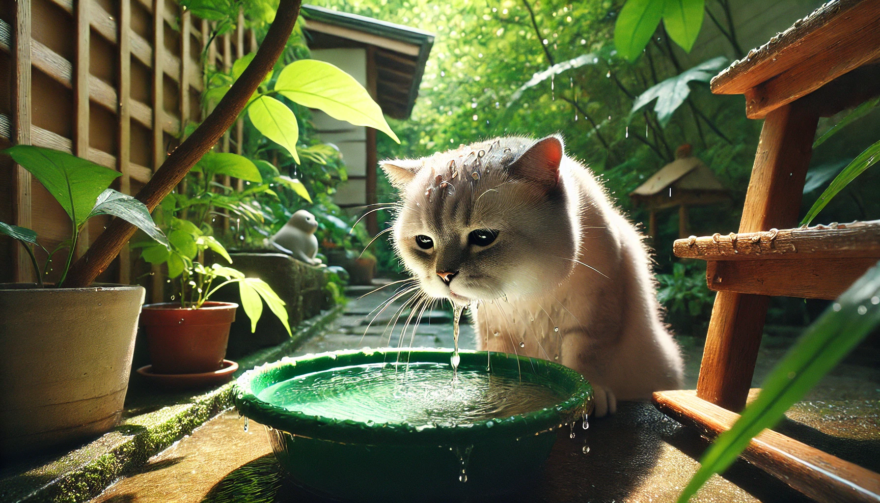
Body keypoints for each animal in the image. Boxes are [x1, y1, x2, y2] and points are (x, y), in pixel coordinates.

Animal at [382, 135, 684, 418]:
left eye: (483, 237)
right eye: (424, 242)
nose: (444, 274)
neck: (524, 294)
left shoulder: (596, 316)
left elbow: (585, 358)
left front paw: (592, 398)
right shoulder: (497, 332)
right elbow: (499, 366)